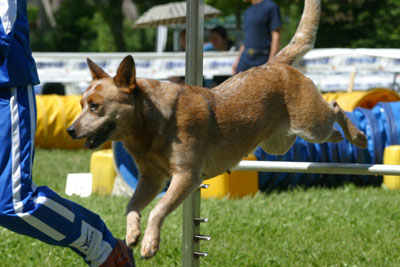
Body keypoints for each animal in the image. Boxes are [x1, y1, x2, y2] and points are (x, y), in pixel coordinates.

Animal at [68, 0, 366, 260]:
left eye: (95, 106)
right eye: (81, 104)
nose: (70, 130)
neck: (150, 125)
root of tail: (275, 64)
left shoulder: (186, 176)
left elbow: (158, 210)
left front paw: (150, 244)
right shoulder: (151, 179)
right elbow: (131, 205)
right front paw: (132, 233)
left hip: (310, 125)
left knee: (335, 107)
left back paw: (358, 136)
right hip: (279, 143)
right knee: (320, 126)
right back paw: (340, 137)